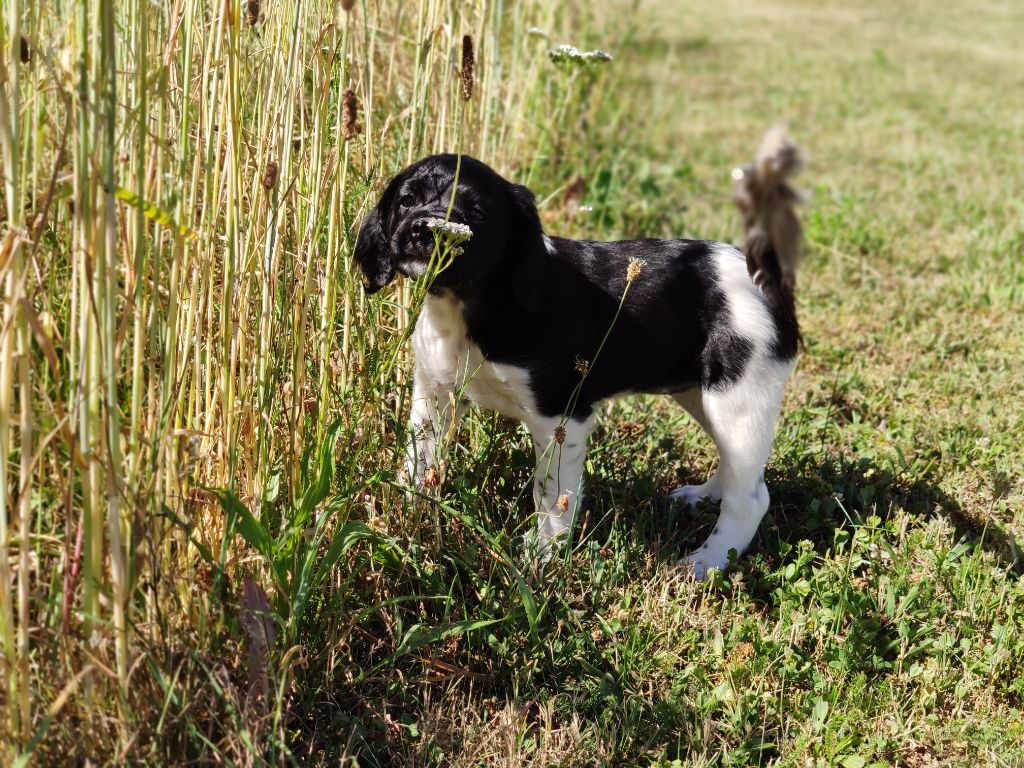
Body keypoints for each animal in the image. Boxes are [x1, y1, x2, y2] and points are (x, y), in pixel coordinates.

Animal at [354, 131, 803, 577]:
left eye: (477, 213)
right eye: (407, 200)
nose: (425, 230)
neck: (478, 304)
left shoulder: (561, 416)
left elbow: (552, 493)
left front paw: (542, 553)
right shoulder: (435, 392)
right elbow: (417, 460)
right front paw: (397, 518)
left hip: (738, 398)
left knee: (751, 498)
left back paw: (704, 563)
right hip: (700, 393)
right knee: (739, 471)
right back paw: (701, 500)